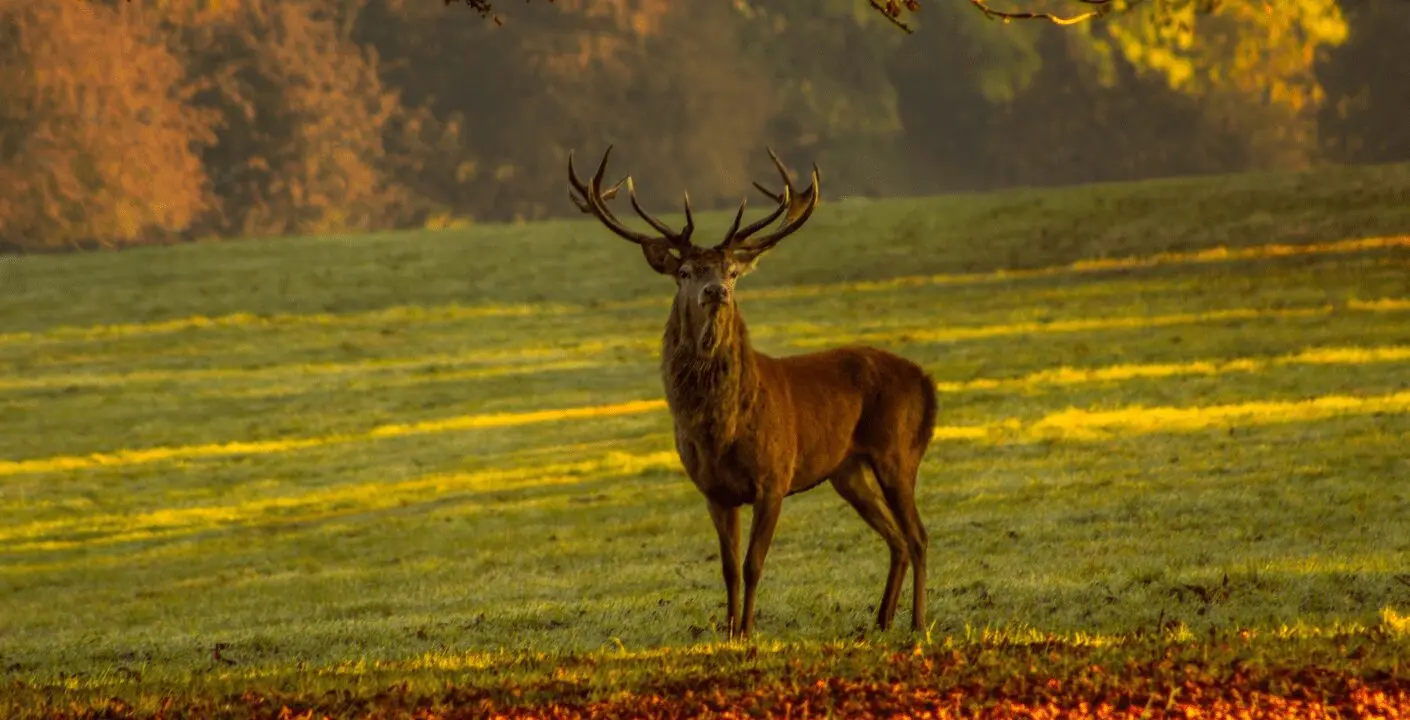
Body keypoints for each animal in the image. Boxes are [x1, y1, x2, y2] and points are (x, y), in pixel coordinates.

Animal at [567, 146, 938, 638]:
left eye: (731, 271)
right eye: (684, 271)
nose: (715, 291)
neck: (720, 430)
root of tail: (927, 382)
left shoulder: (774, 478)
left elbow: (753, 564)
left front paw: (747, 631)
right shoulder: (713, 490)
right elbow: (727, 567)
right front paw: (728, 631)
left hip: (897, 451)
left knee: (918, 535)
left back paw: (917, 621)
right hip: (848, 470)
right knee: (896, 537)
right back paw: (881, 619)